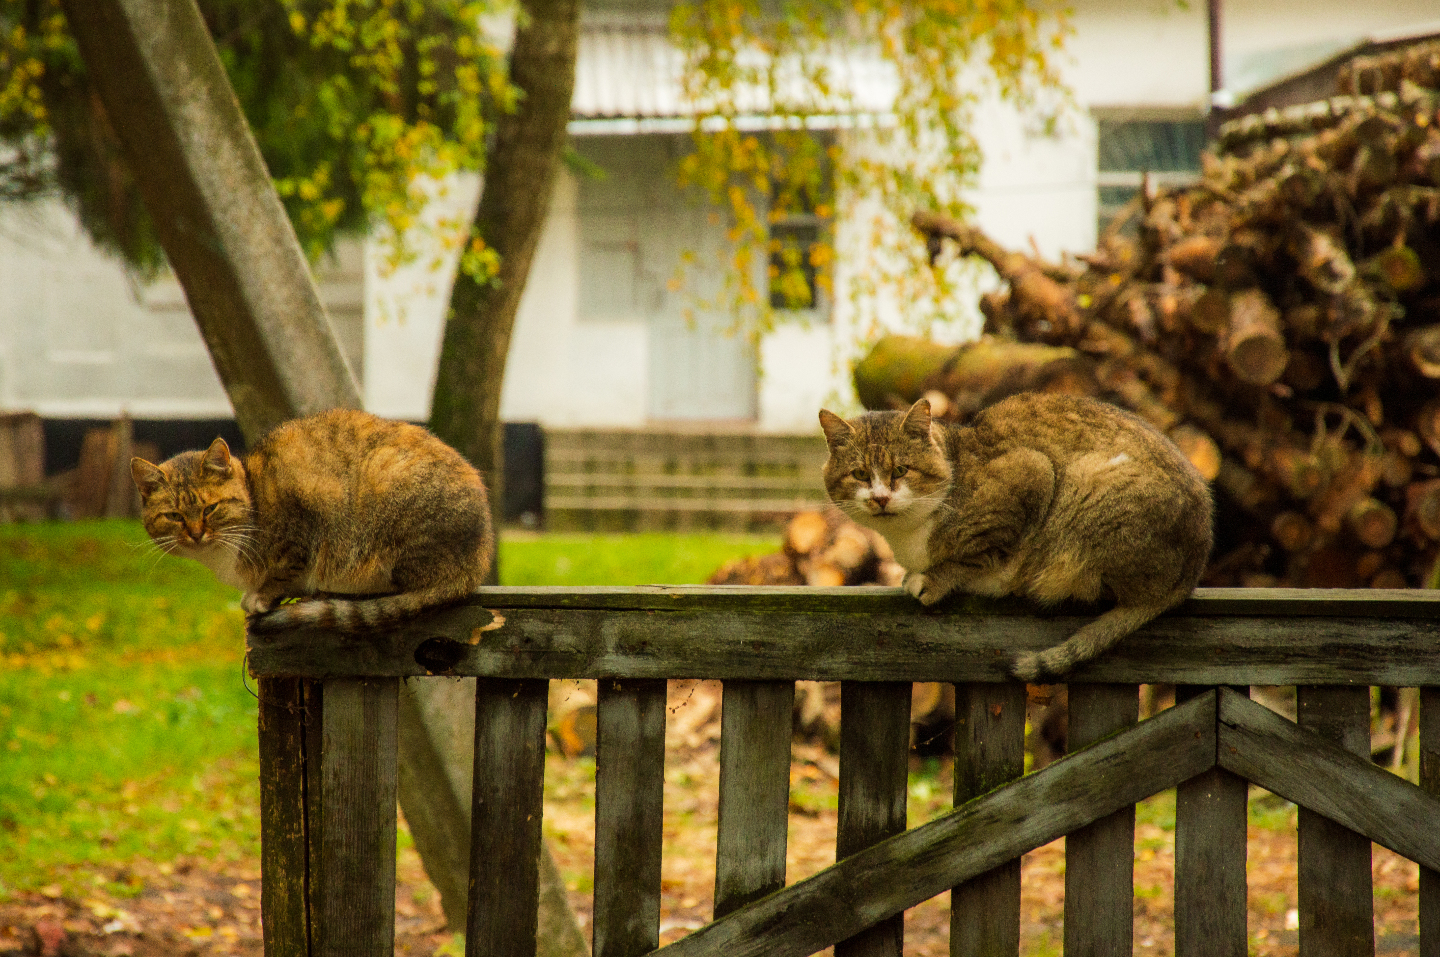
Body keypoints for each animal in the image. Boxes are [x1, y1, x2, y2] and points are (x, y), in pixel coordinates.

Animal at [135, 405, 495, 630]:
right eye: (174, 516)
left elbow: (282, 572)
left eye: (210, 509)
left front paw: (261, 596)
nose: (196, 534)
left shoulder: (301, 521)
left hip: (386, 485)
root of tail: (474, 566)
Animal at [817, 391, 1209, 682]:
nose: (880, 498)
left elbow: (979, 555)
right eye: (859, 474)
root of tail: (1188, 576)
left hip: (1089, 487)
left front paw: (937, 578)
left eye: (901, 470)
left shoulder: (1031, 473)